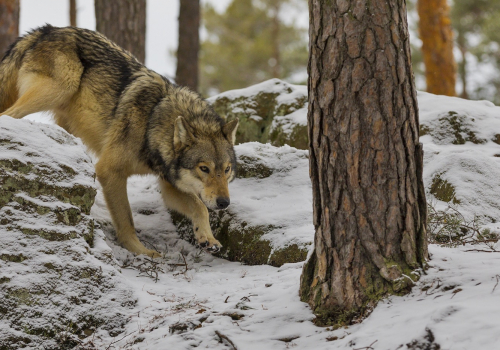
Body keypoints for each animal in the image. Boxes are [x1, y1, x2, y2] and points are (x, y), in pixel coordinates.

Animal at [0, 23, 238, 254]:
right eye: (204, 169)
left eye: (226, 169)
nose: (224, 202)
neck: (152, 120)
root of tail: (46, 29)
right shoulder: (110, 171)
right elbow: (126, 219)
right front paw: (142, 251)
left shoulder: (169, 185)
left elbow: (200, 207)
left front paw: (208, 239)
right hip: (60, 88)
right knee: (8, 115)